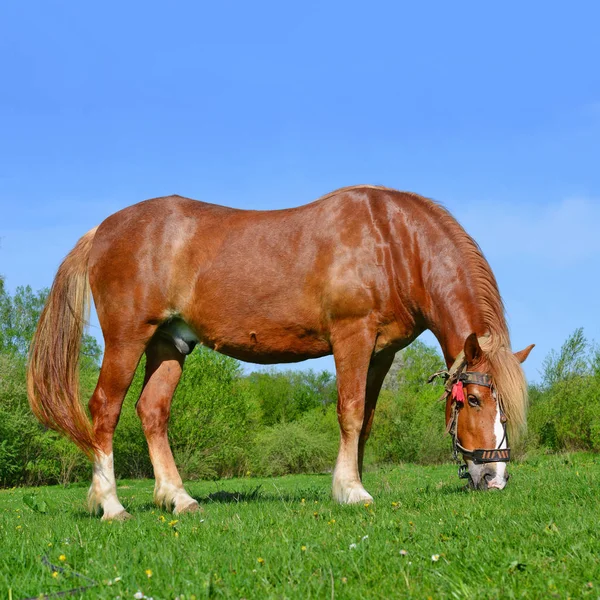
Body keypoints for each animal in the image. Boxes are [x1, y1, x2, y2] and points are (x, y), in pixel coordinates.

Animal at [28, 185, 536, 516]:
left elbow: (367, 420)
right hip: (128, 338)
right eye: (473, 400)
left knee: (152, 411)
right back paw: (110, 505)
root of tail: (101, 230)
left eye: (505, 407)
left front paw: (353, 481)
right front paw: (351, 491)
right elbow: (350, 411)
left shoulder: (380, 353)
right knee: (104, 409)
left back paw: (180, 499)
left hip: (168, 344)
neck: (392, 242)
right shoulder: (351, 336)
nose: (495, 478)